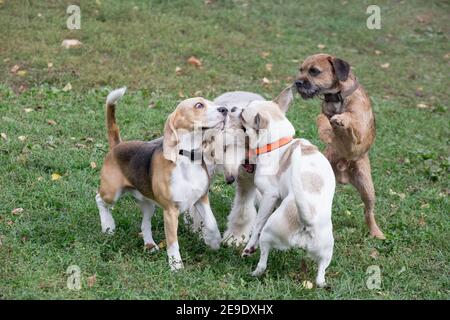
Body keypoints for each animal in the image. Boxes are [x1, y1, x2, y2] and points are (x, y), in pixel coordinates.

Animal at [96, 87, 227, 270]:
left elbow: (212, 223)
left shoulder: (201, 198)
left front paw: (213, 242)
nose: (225, 110)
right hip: (111, 192)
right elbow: (173, 242)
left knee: (145, 224)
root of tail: (118, 145)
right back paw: (108, 226)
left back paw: (150, 245)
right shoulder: (170, 211)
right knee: (99, 199)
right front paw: (176, 265)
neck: (187, 158)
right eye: (199, 105)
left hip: (148, 204)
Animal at [294, 53, 384, 238]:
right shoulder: (324, 113)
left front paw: (341, 119)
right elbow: (321, 117)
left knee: (368, 211)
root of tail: (343, 173)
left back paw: (376, 232)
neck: (337, 97)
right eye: (301, 70)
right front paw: (326, 130)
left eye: (314, 71)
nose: (297, 82)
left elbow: (350, 117)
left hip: (367, 187)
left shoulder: (358, 129)